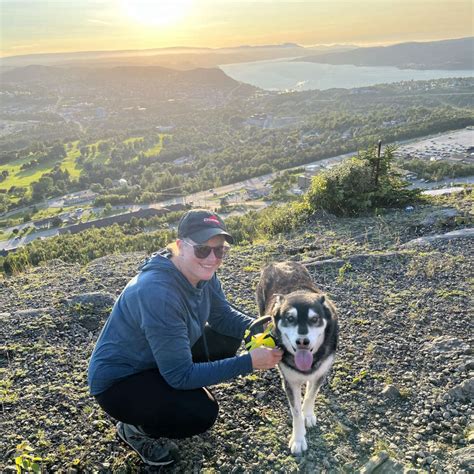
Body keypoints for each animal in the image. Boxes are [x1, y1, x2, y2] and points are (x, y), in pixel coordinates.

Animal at [256, 262, 336, 454]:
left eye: (314, 319)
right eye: (290, 318)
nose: (302, 342)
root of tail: (278, 262)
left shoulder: (320, 373)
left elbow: (311, 395)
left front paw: (309, 414)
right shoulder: (291, 381)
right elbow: (296, 412)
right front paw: (298, 439)